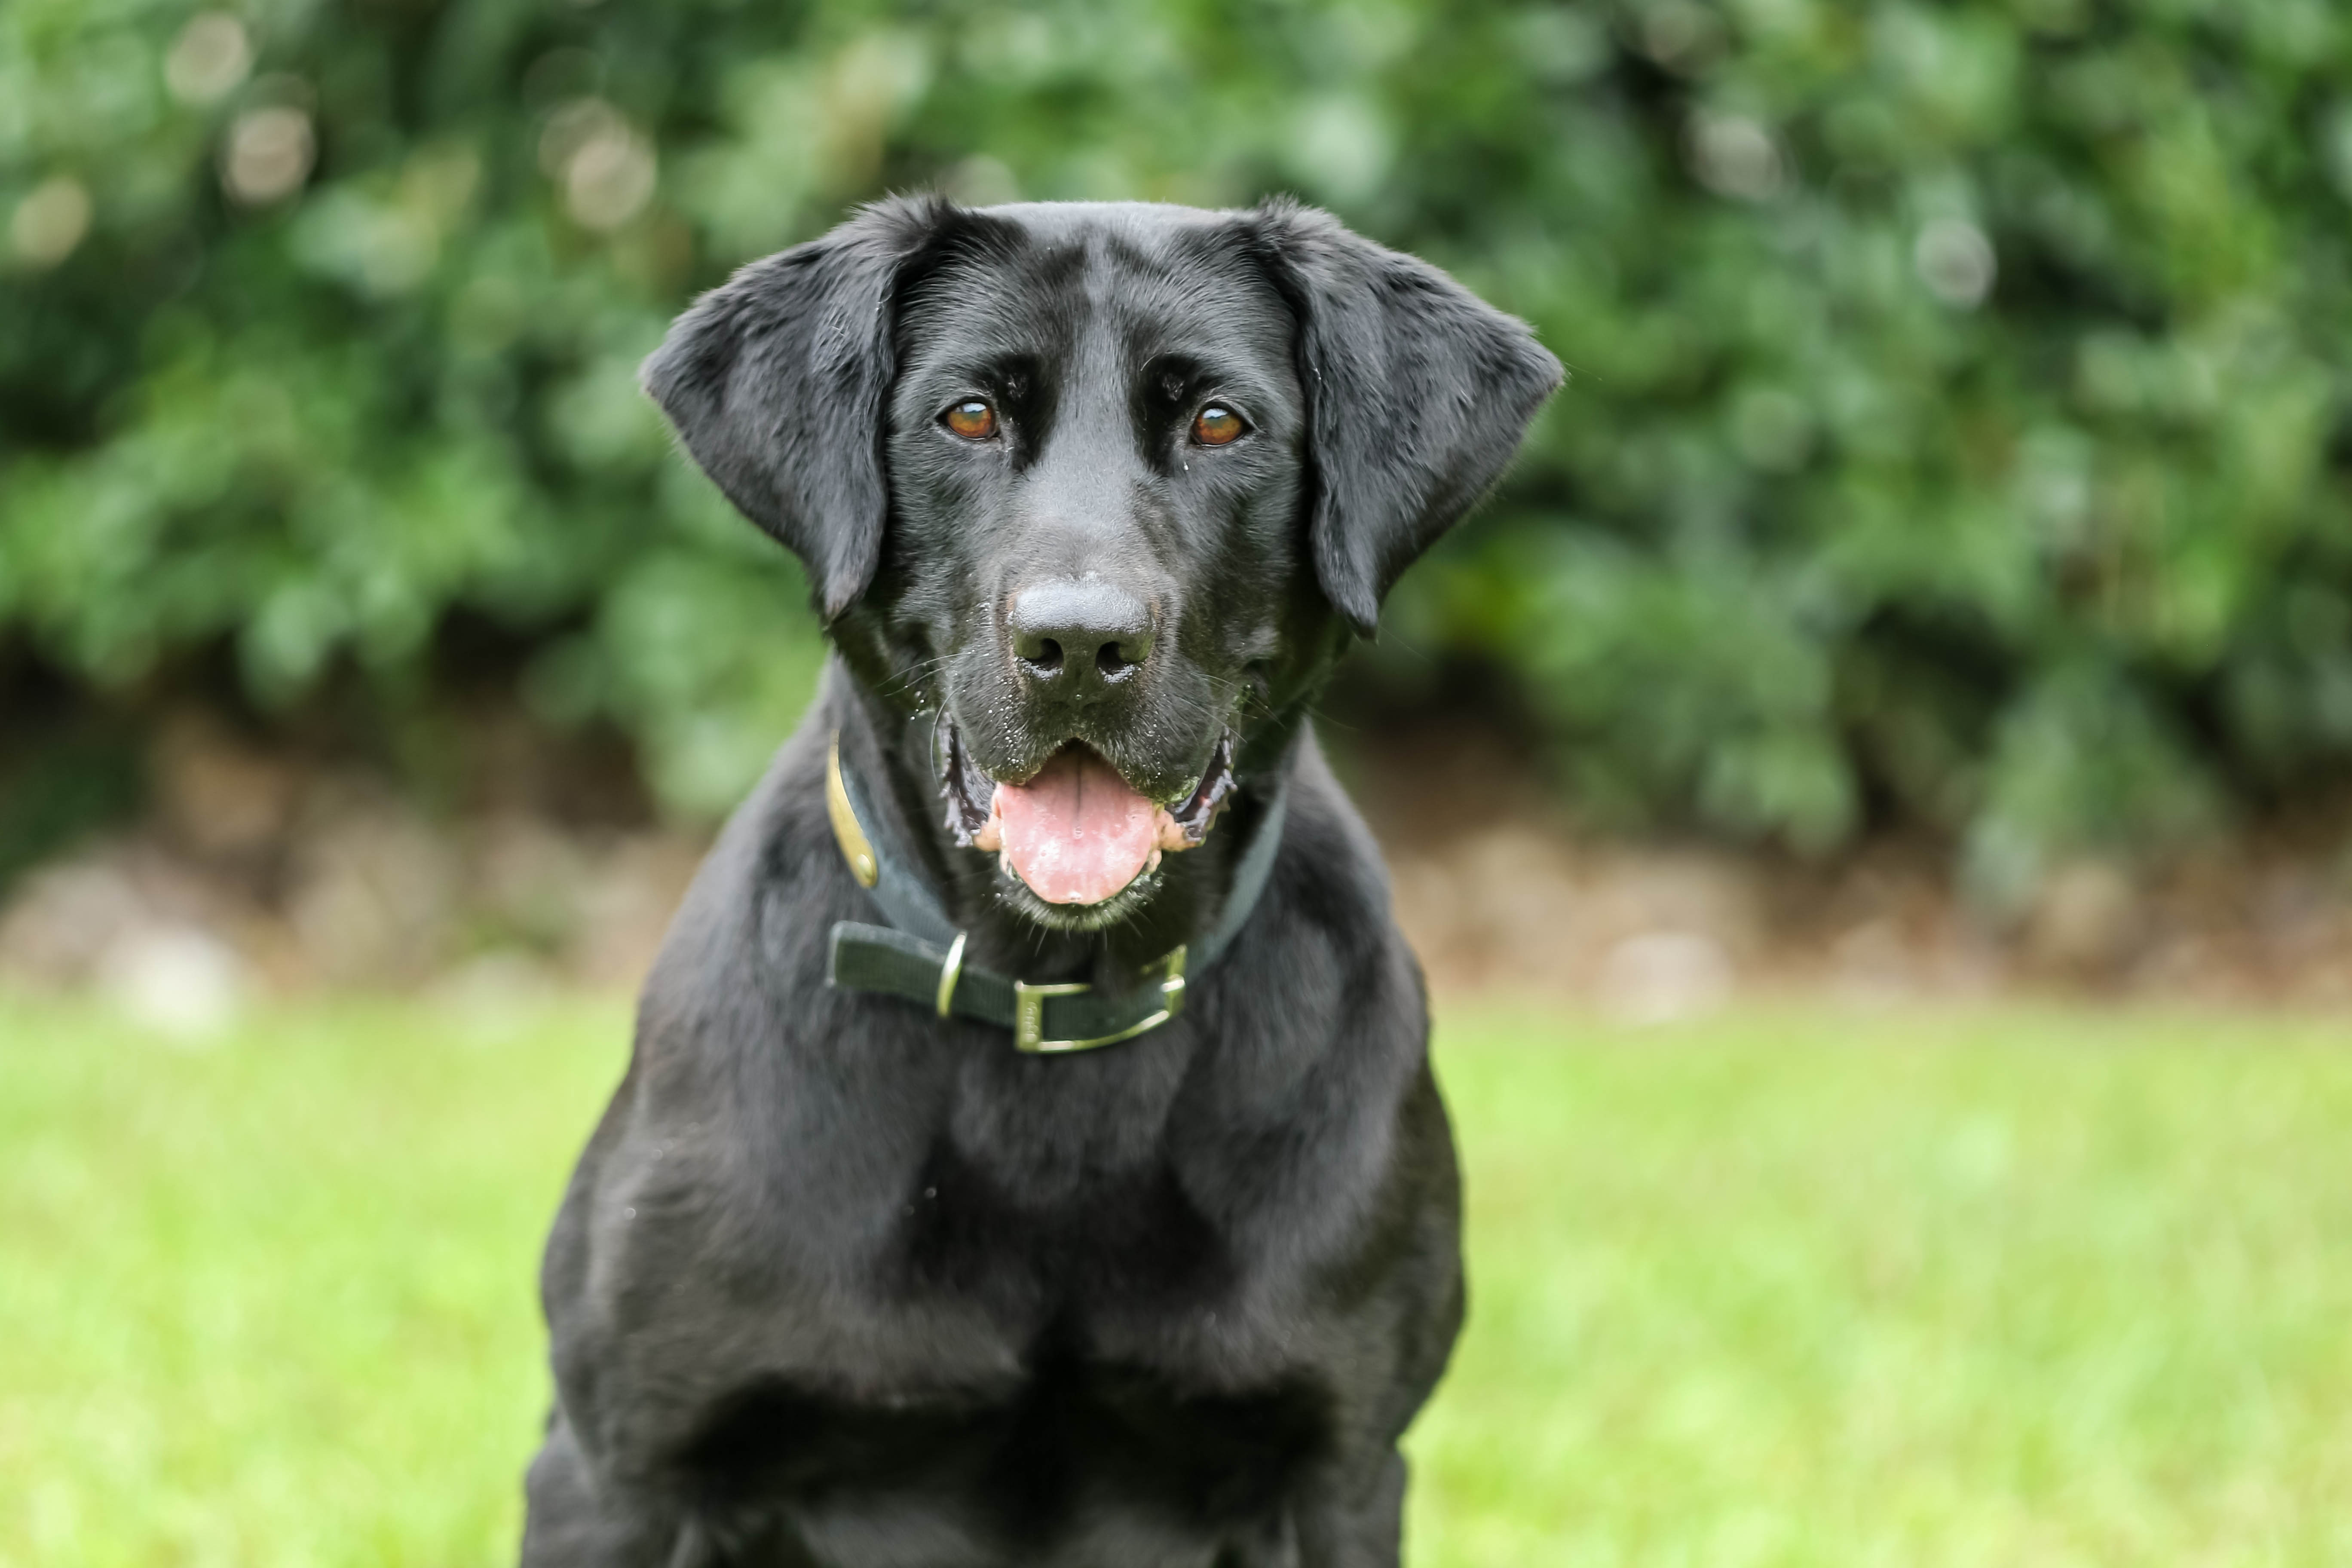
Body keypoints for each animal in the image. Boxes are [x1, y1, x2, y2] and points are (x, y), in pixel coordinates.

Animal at [529, 202, 1562, 1561]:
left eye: (1219, 422)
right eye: (968, 415)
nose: (1078, 644)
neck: (1056, 1004)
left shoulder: (1337, 1467)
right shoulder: (620, 1470)